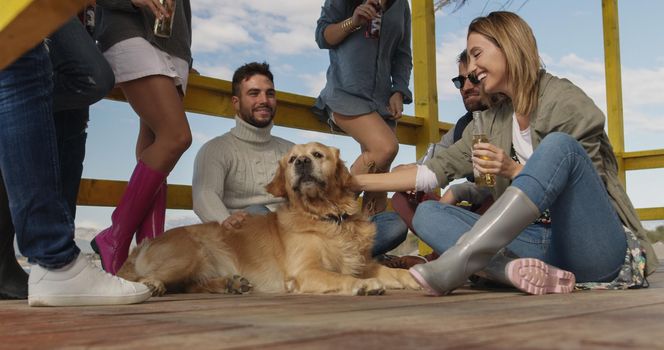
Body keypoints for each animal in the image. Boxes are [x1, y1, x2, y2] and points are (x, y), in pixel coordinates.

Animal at [116, 142, 418, 296]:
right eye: (292, 159)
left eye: (317, 154)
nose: (302, 163)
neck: (329, 216)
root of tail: (145, 244)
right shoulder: (305, 271)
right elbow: (339, 276)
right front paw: (362, 285)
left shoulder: (363, 263)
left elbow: (392, 271)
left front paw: (412, 276)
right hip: (190, 253)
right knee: (146, 278)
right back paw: (154, 285)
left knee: (190, 285)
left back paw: (230, 284)